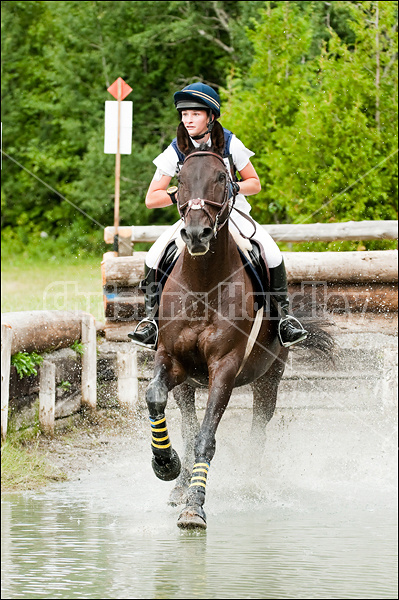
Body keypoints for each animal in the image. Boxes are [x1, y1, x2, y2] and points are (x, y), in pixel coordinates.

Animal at [146, 119, 334, 528]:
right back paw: (177, 483)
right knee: (185, 421)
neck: (203, 282)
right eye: (180, 178)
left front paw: (195, 506)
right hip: (189, 382)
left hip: (269, 378)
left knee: (258, 429)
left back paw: (249, 484)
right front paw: (166, 466)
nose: (196, 234)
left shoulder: (226, 367)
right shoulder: (171, 359)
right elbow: (157, 400)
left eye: (221, 176)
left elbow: (207, 437)